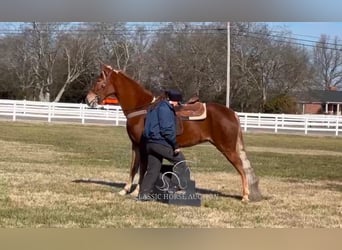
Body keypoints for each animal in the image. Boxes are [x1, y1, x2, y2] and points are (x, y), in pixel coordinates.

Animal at [85, 64, 262, 201]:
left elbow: (142, 169)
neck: (142, 109)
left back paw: (245, 196)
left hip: (227, 148)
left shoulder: (143, 146)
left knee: (241, 168)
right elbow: (133, 167)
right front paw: (125, 189)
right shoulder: (135, 146)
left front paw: (136, 191)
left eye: (99, 81)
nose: (88, 99)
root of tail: (232, 113)